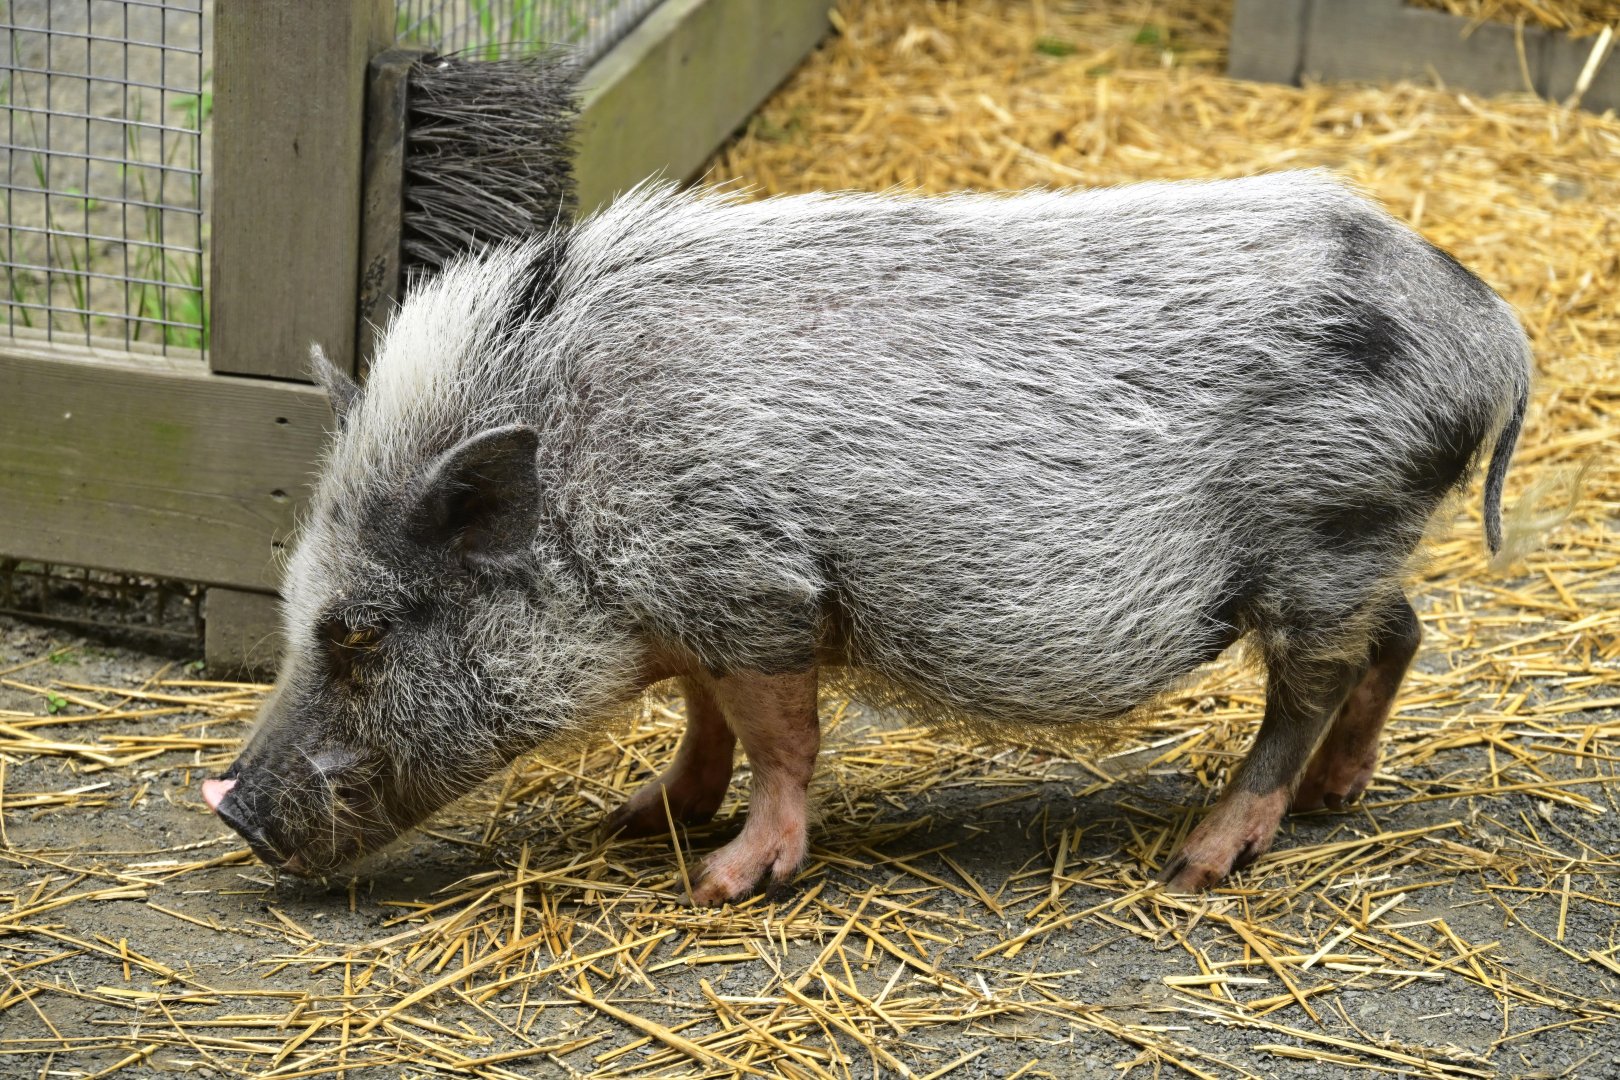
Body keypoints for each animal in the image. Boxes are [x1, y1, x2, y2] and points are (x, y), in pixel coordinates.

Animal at [202, 171, 1529, 902]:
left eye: (362, 632)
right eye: (299, 606)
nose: (229, 810)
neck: (585, 480)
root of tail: (1491, 327)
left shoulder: (756, 580)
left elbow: (780, 735)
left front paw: (719, 884)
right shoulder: (697, 605)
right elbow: (704, 720)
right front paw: (635, 822)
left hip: (1325, 535)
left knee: (1308, 686)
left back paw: (1202, 861)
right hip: (1361, 551)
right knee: (1402, 633)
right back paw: (1333, 803)